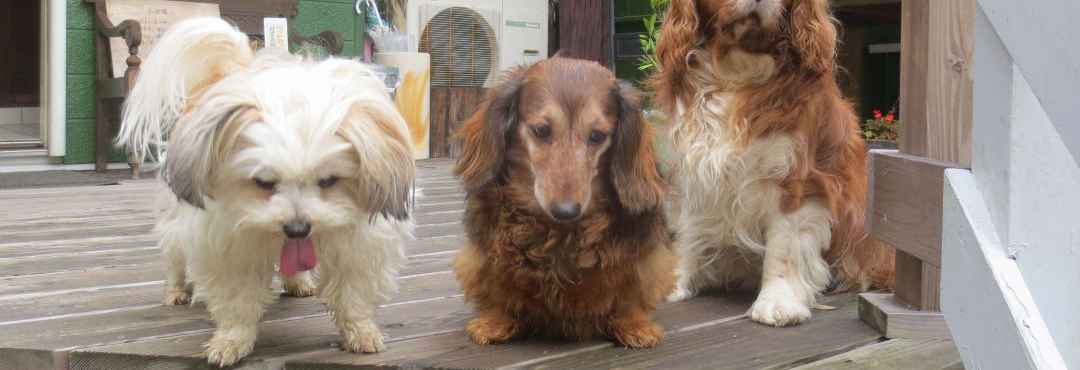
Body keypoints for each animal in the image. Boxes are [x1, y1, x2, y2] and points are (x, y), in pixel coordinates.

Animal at [116, 18, 414, 368]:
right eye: (263, 182)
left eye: (328, 180)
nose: (297, 229)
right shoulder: (229, 243)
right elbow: (236, 300)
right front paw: (231, 341)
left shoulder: (359, 244)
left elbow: (353, 293)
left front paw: (361, 332)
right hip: (176, 215)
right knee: (175, 252)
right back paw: (177, 290)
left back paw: (298, 282)